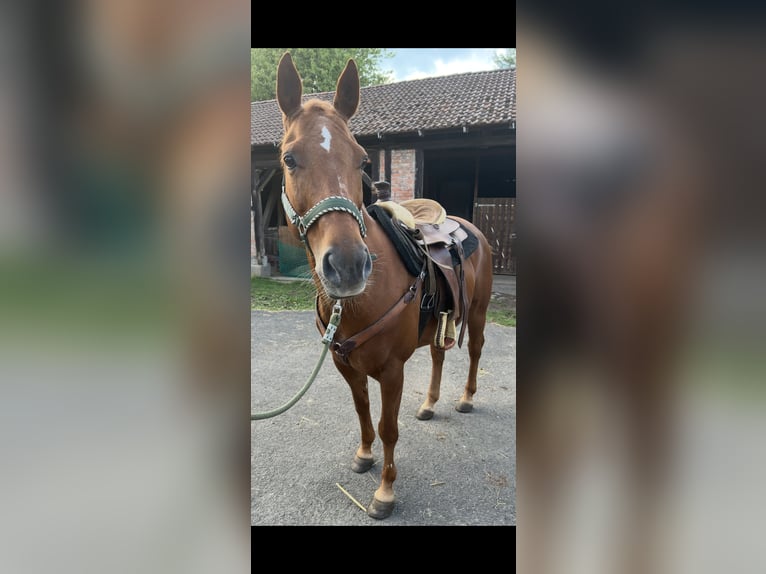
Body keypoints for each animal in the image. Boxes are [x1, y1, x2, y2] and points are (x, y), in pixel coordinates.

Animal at [274, 52, 494, 519]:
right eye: (289, 159)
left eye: (362, 160)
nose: (348, 266)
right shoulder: (346, 366)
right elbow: (363, 414)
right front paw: (363, 456)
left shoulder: (392, 371)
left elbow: (388, 426)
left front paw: (385, 491)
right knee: (438, 356)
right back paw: (429, 404)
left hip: (480, 313)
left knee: (475, 351)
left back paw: (466, 398)